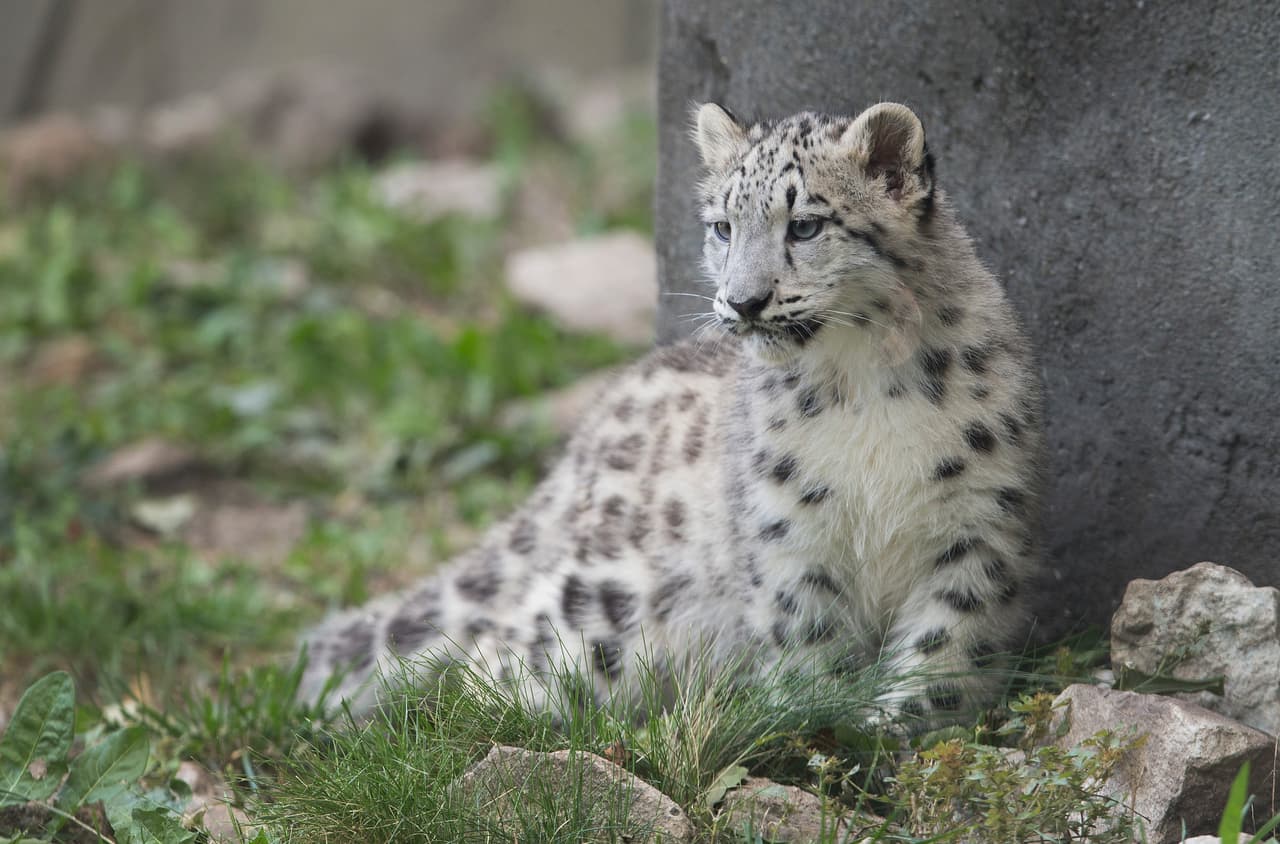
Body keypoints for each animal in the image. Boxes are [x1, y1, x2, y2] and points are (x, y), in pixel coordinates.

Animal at [298, 101, 1045, 727]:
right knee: (501, 650)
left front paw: (902, 730)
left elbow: (946, 646)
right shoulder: (788, 532)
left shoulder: (974, 527)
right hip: (603, 612)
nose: (742, 301)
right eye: (723, 227)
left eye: (805, 224)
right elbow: (809, 636)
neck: (864, 379)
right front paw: (823, 724)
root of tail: (592, 427)